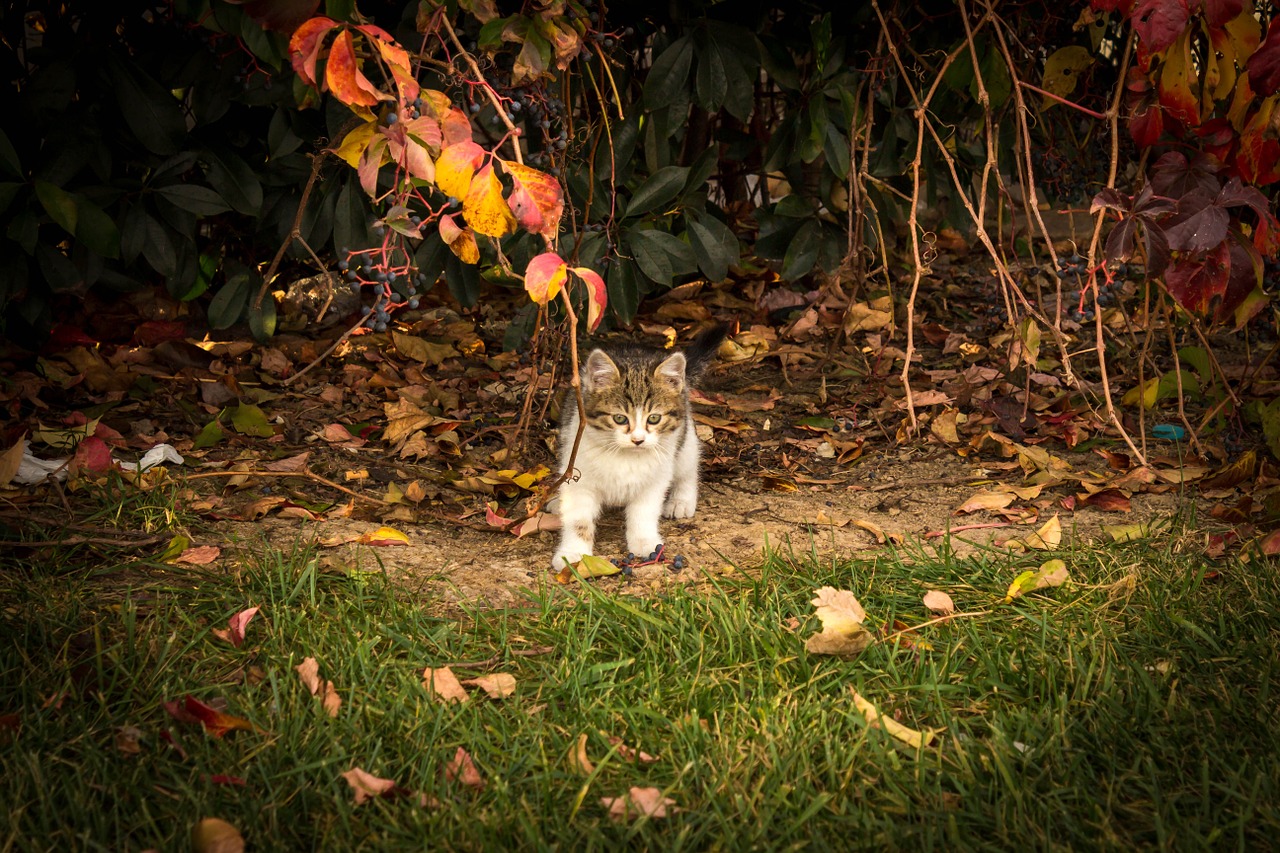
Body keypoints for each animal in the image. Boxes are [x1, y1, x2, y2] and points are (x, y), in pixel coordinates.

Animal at [552, 322, 732, 568]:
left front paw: (646, 543)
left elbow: (643, 513)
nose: (638, 439)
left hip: (684, 440)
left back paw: (681, 499)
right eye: (620, 418)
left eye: (654, 418)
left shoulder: (655, 479)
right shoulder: (579, 477)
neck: (625, 456)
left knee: (689, 465)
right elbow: (578, 519)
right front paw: (572, 553)